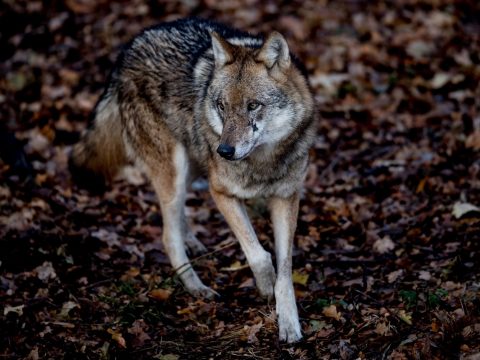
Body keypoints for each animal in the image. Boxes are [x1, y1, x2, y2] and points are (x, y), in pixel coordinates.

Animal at [70, 17, 316, 344]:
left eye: (253, 106)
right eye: (222, 105)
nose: (224, 151)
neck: (264, 162)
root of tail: (128, 49)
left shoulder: (286, 197)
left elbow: (285, 268)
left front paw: (288, 322)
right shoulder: (220, 192)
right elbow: (260, 255)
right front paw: (265, 287)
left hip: (192, 169)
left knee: (178, 219)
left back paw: (195, 243)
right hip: (175, 173)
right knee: (167, 235)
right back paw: (198, 287)